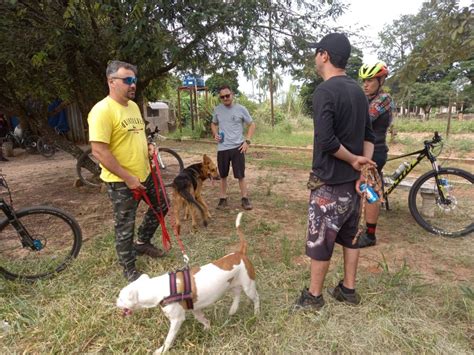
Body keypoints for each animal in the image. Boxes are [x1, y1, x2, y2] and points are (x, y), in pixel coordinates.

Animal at [117, 213, 262, 354]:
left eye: (120, 297)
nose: (115, 302)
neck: (161, 288)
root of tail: (240, 253)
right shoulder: (196, 309)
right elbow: (203, 319)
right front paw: (208, 328)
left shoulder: (177, 320)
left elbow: (168, 339)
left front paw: (162, 350)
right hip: (233, 283)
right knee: (237, 294)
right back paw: (233, 309)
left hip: (248, 286)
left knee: (255, 297)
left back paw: (256, 313)